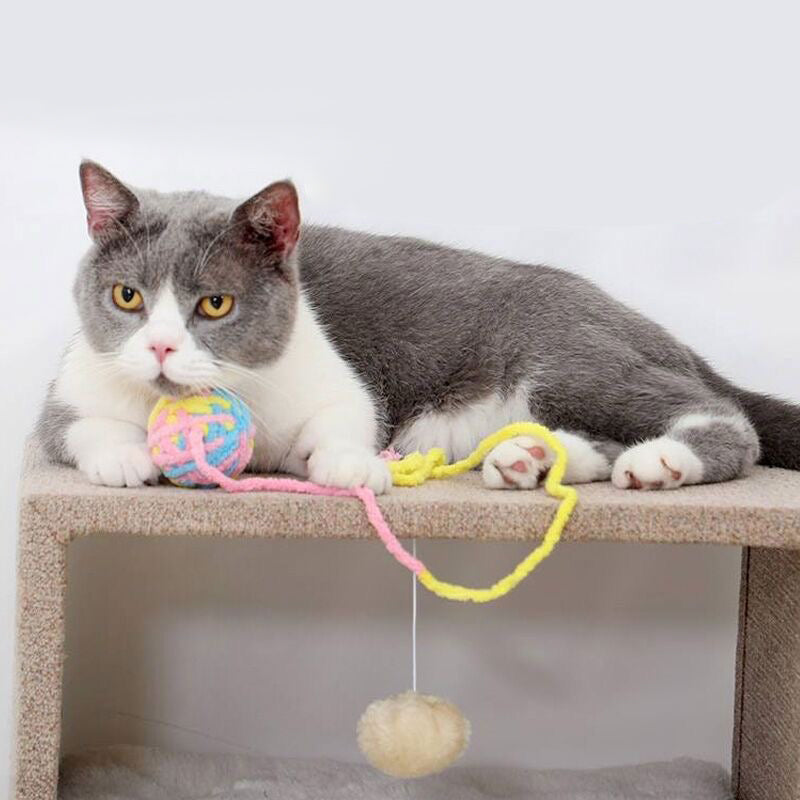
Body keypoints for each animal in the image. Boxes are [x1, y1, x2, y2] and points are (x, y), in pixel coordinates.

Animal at [37, 159, 800, 490]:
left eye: (215, 305)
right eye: (128, 297)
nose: (162, 346)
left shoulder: (335, 383)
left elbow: (343, 422)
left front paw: (349, 465)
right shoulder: (70, 388)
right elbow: (75, 427)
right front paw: (125, 456)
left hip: (563, 360)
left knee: (723, 415)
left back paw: (662, 461)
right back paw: (533, 458)